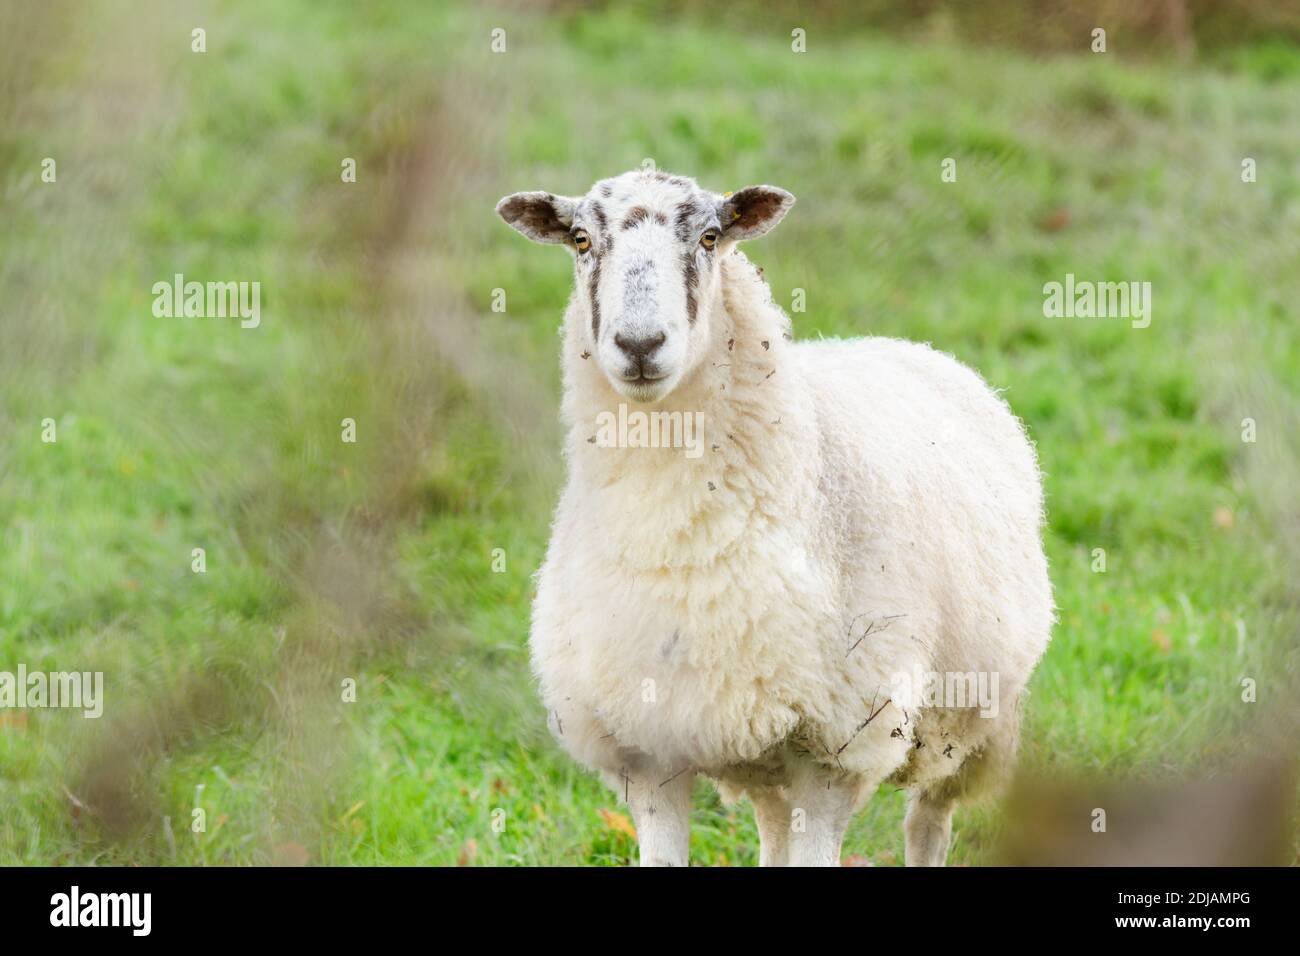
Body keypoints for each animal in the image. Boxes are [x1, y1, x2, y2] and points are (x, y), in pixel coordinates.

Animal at [496, 166, 1055, 868]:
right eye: (579, 239)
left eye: (710, 237)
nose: (640, 344)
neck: (676, 541)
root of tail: (909, 346)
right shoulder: (648, 748)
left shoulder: (835, 748)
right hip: (763, 752)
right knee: (774, 828)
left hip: (974, 725)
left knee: (928, 822)